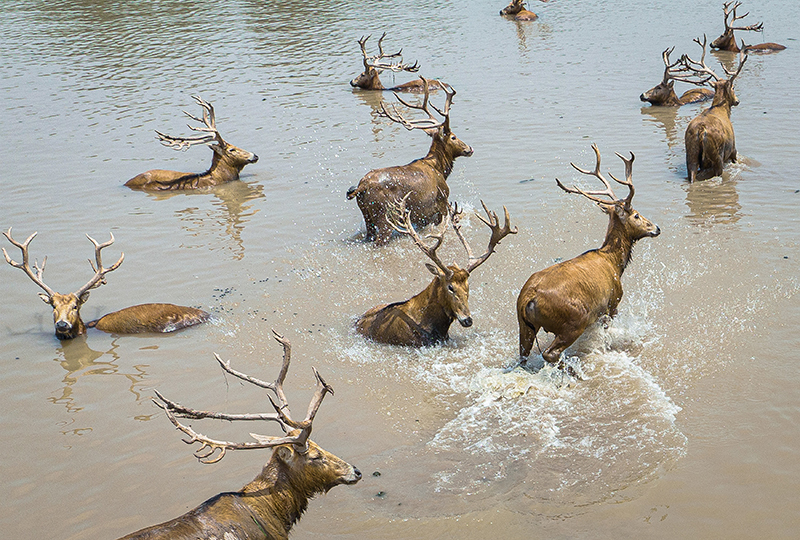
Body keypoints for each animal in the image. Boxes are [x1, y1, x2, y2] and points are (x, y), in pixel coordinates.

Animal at [346, 78, 473, 245]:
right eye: (453, 136)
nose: (469, 148)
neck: (440, 168)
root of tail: (361, 187)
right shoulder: (441, 203)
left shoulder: (422, 218)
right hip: (385, 216)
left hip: (367, 216)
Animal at [517, 145, 660, 372]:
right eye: (636, 214)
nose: (656, 228)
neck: (614, 263)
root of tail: (527, 299)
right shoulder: (612, 302)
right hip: (574, 320)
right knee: (550, 352)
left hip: (524, 326)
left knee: (523, 356)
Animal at [683, 36, 748, 182]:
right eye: (733, 87)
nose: (737, 101)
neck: (723, 111)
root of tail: (701, 131)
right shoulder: (733, 150)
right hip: (718, 154)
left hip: (691, 153)